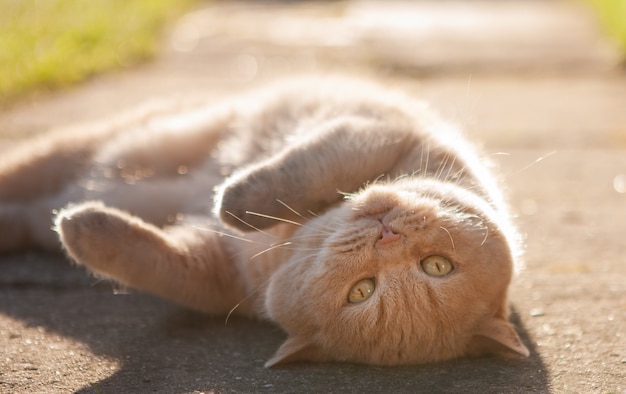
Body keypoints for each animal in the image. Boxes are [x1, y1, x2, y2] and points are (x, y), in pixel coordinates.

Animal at [0, 78, 528, 368]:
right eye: (439, 265)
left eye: (362, 291)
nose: (388, 236)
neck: (288, 236)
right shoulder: (376, 133)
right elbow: (296, 172)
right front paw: (236, 198)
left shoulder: (213, 271)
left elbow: (151, 260)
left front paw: (84, 231)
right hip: (112, 140)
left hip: (60, 196)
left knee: (35, 210)